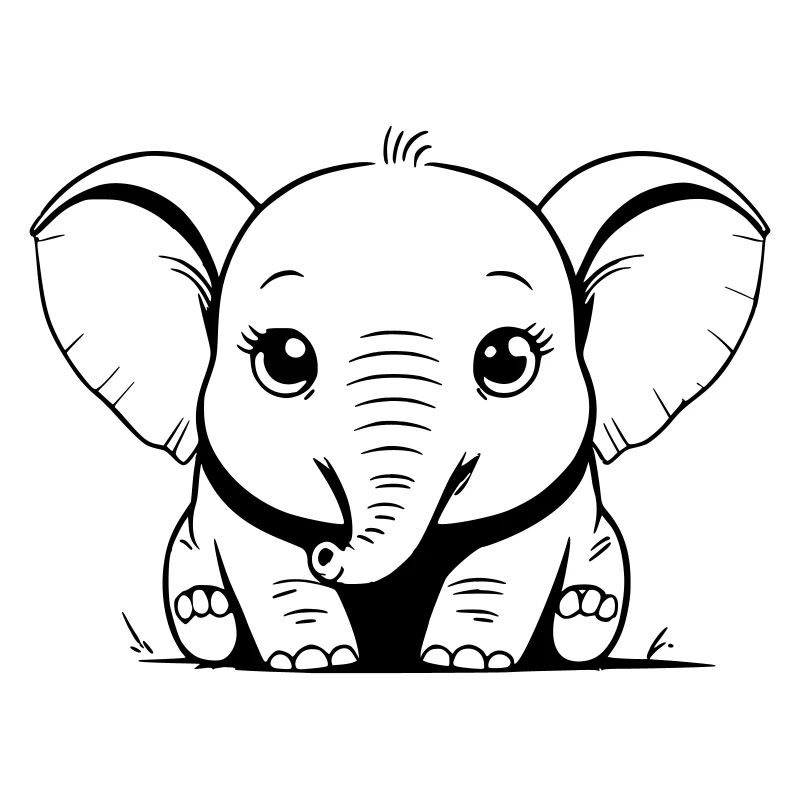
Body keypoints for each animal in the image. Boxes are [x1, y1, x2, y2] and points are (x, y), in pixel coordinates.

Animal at [31, 129, 767, 671]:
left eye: (507, 359)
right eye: (284, 359)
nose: (329, 554)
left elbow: (501, 564)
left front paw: (466, 660)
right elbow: (271, 564)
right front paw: (312, 660)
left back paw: (582, 618)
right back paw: (206, 617)